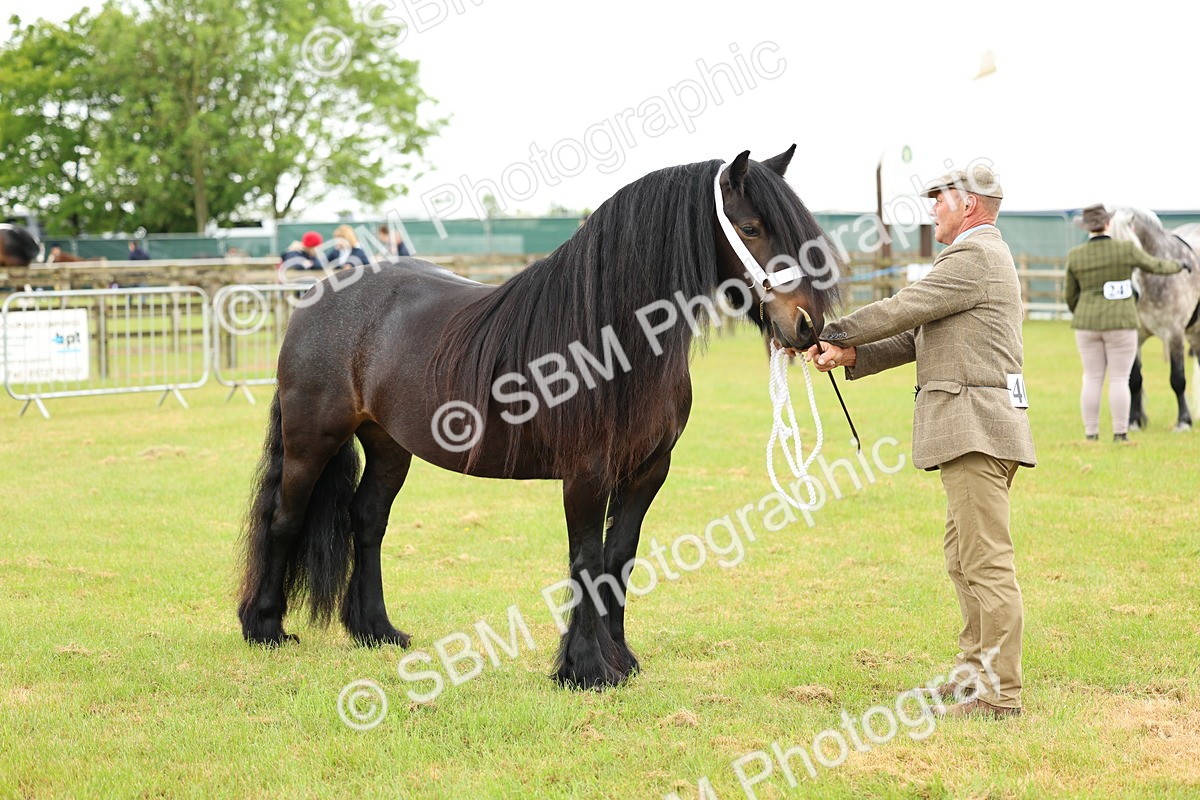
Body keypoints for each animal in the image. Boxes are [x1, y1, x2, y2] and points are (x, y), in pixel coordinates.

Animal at [236, 148, 841, 689]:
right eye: (751, 226)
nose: (808, 326)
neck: (614, 343)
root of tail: (320, 295)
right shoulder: (586, 474)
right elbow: (586, 561)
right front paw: (586, 670)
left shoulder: (647, 471)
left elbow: (619, 558)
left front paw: (621, 661)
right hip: (312, 437)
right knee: (285, 517)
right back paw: (264, 628)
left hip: (388, 446)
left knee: (367, 520)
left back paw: (376, 631)